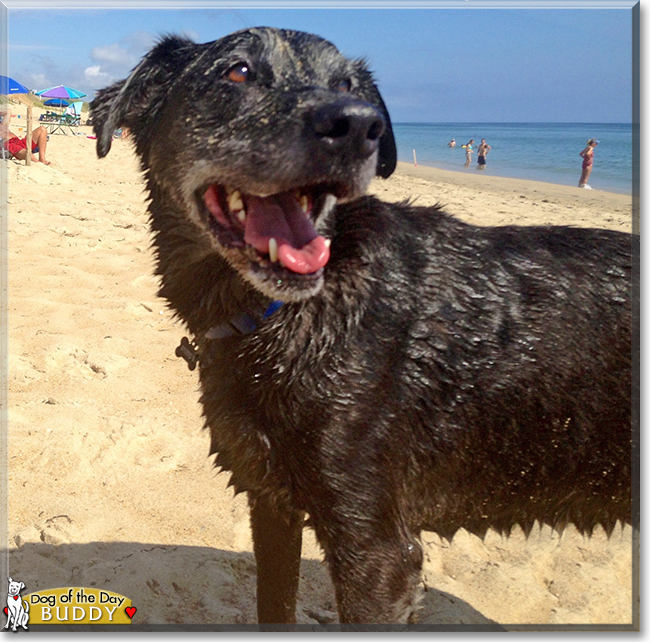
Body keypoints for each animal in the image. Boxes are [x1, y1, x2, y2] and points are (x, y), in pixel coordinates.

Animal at [91, 27, 632, 624]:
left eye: (349, 85)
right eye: (237, 71)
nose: (358, 125)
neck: (283, 316)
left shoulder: (376, 552)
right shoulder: (271, 500)